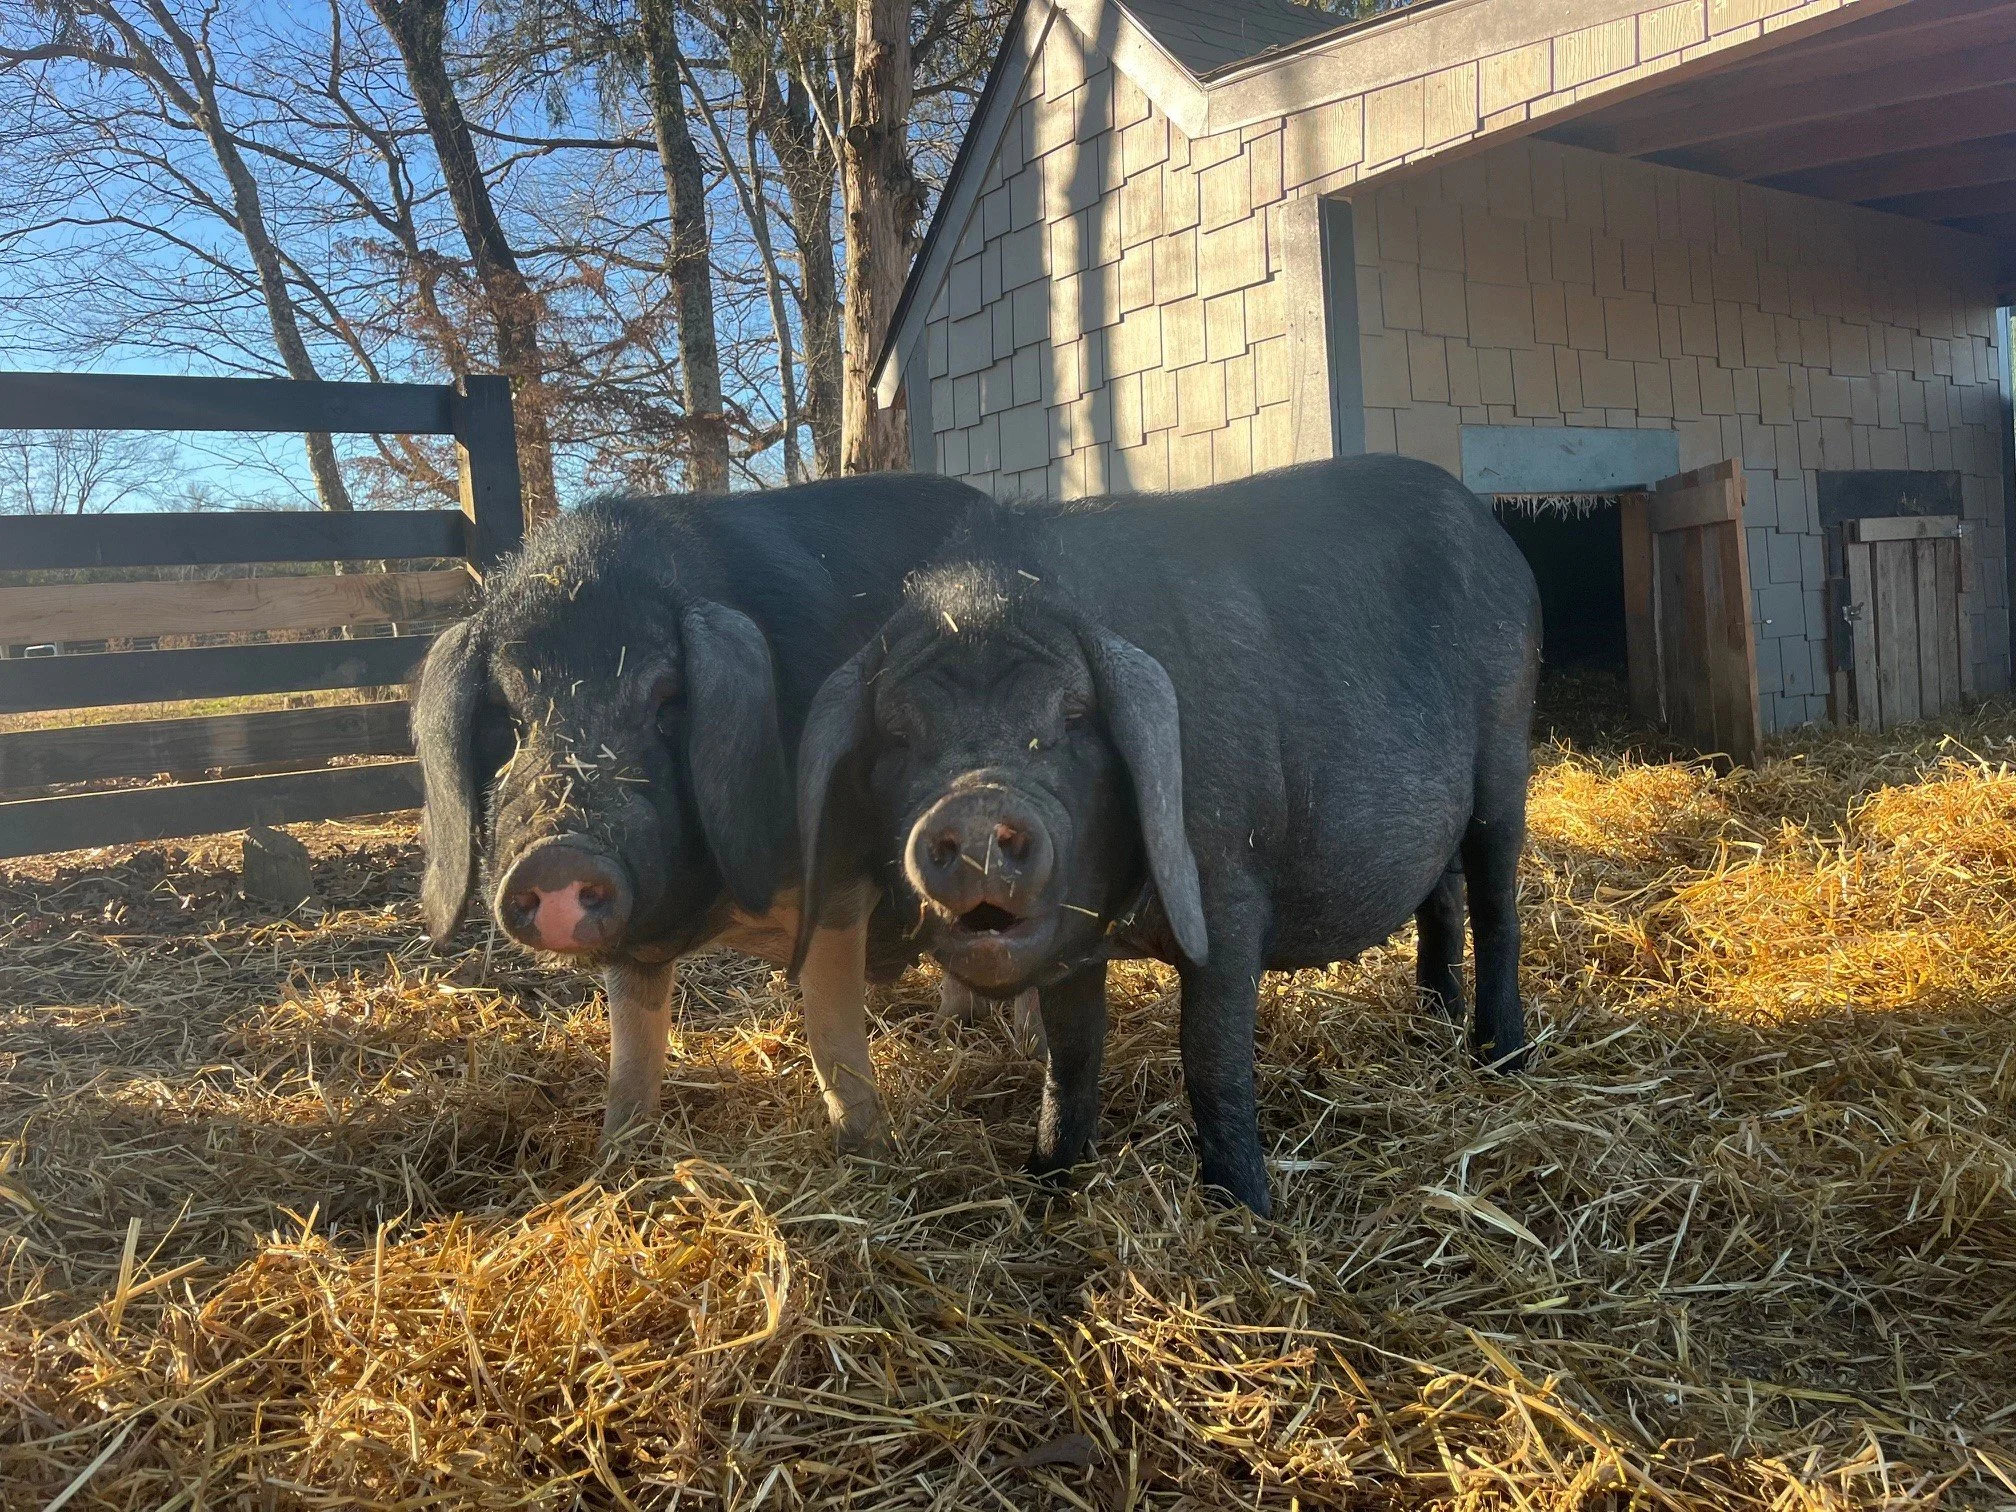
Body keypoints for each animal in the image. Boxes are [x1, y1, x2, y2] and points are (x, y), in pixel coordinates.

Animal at [409, 473, 993, 1155]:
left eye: (666, 701)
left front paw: (865, 1148)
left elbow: (831, 1029)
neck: (713, 910)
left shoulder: (837, 885)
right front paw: (616, 1154)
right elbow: (633, 1049)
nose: (556, 856)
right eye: (506, 719)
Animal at [793, 455, 1542, 1214]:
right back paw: (1431, 1023)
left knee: (1495, 902)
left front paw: (1244, 1209)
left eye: (1074, 714)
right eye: (897, 733)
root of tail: (1499, 540)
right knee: (1441, 897)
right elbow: (1071, 1054)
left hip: (1505, 748)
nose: (974, 810)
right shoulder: (1071, 948)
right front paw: (1043, 1185)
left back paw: (1500, 1057)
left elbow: (1211, 1054)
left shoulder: (1230, 889)